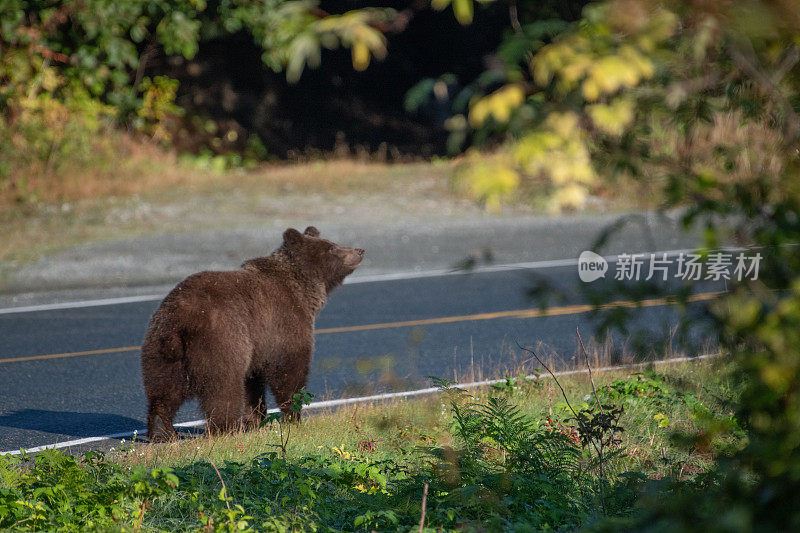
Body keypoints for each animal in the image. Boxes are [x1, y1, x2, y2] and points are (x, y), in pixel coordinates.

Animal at [140, 225, 362, 440]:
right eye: (331, 248)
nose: (359, 250)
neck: (304, 290)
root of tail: (181, 320)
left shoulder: (258, 344)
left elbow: (252, 384)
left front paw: (255, 421)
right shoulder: (283, 322)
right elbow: (289, 369)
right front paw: (293, 417)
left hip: (160, 347)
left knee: (163, 390)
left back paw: (162, 431)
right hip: (220, 339)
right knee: (223, 388)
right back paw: (227, 429)